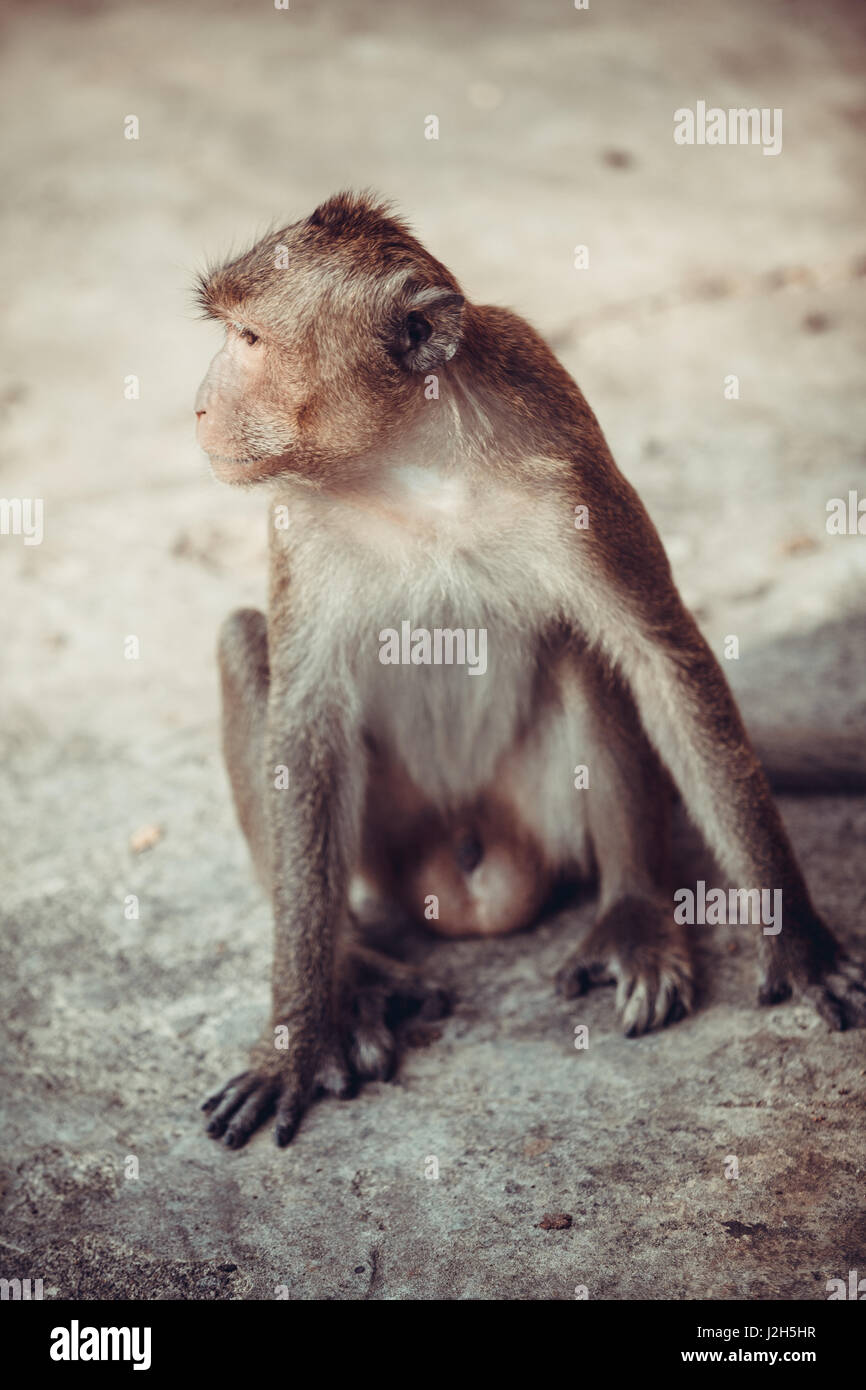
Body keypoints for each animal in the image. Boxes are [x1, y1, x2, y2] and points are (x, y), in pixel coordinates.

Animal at [194, 195, 866, 1150]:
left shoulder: (563, 455)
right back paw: (357, 969)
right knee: (244, 644)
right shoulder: (298, 515)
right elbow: (306, 729)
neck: (410, 462)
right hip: (390, 844)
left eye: (249, 337)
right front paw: (298, 1034)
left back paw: (634, 915)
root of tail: (474, 887)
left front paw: (800, 941)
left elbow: (659, 656)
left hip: (542, 813)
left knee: (584, 644)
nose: (199, 407)